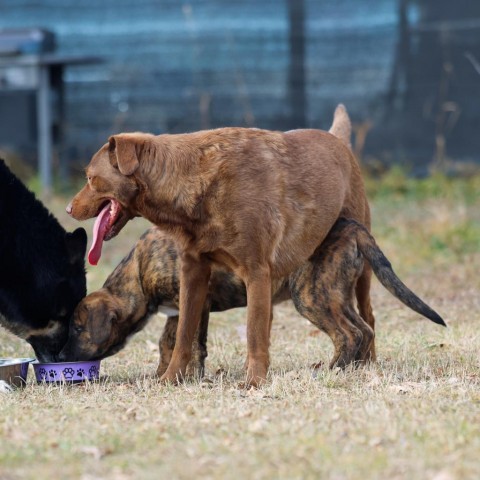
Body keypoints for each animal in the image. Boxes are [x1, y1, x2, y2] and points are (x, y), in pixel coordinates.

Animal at [59, 219, 446, 376]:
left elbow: (184, 341)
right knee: (364, 329)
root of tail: (352, 226)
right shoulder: (184, 309)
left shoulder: (192, 301)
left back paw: (333, 370)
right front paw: (167, 373)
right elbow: (174, 340)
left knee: (350, 333)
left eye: (77, 329)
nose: (59, 357)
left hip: (311, 294)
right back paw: (354, 369)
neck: (139, 269)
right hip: (335, 291)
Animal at [67, 106, 374, 386]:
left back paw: (365, 366)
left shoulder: (256, 273)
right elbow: (182, 338)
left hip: (357, 270)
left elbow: (253, 335)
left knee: (367, 318)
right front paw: (170, 379)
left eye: (91, 178)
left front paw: (254, 382)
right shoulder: (193, 275)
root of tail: (336, 139)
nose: (69, 209)